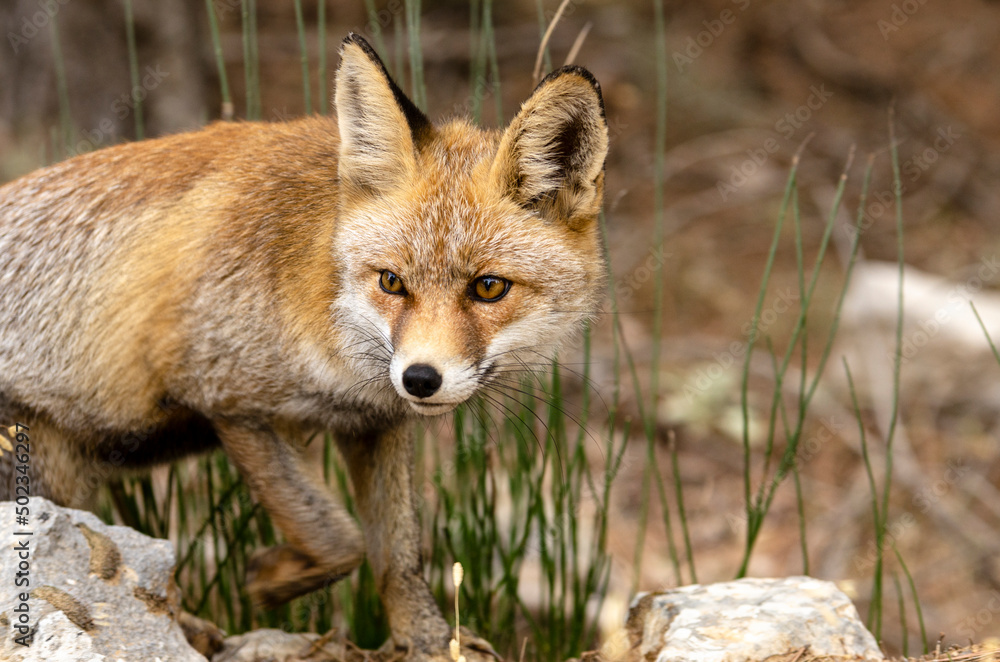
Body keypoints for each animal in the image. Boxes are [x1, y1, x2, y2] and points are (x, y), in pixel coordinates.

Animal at [0, 33, 608, 660]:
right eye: (392, 281)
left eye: (488, 287)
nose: (420, 379)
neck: (321, 303)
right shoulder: (227, 401)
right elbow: (337, 536)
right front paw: (269, 580)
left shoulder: (375, 423)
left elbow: (397, 557)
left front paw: (432, 640)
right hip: (47, 468)